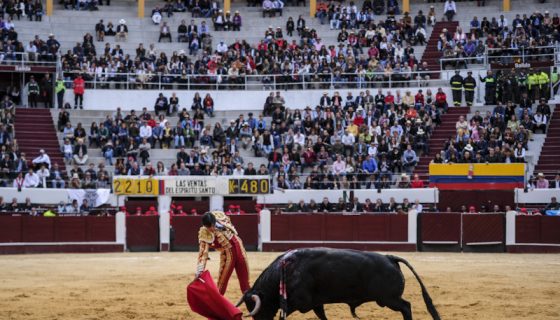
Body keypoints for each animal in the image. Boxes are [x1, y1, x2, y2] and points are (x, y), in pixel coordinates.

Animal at [238, 248, 440, 320]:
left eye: (257, 308)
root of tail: (390, 257)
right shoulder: (316, 304)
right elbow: (322, 317)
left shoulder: (298, 303)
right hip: (388, 299)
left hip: (388, 299)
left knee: (406, 306)